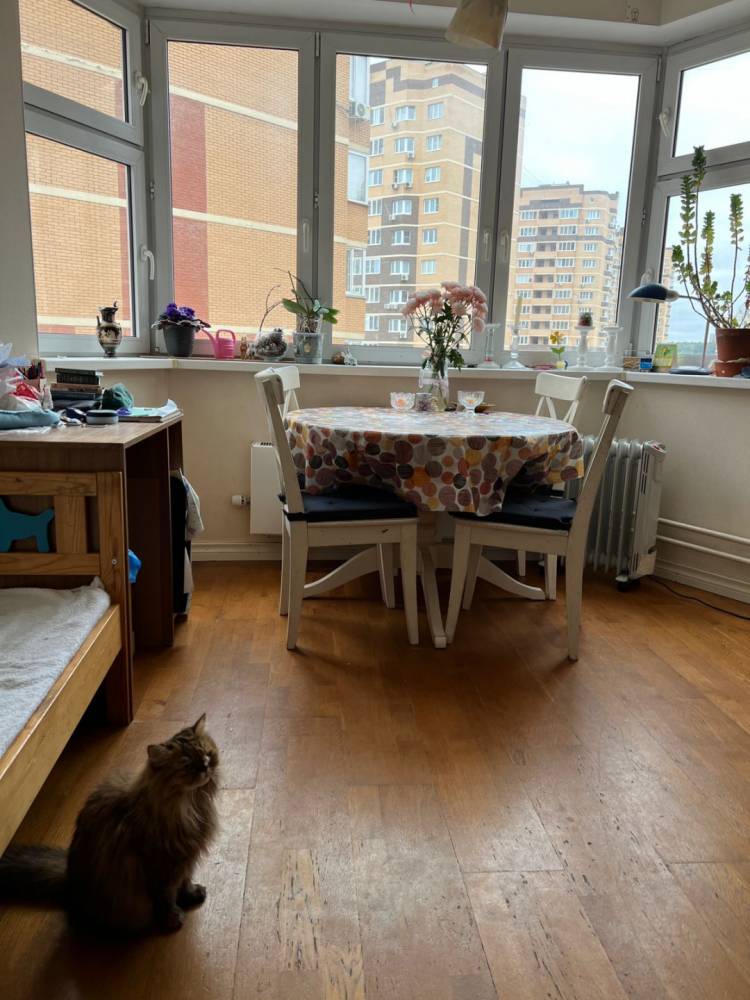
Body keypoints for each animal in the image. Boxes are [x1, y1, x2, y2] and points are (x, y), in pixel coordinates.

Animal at [0, 715, 219, 936]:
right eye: (188, 765)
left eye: (206, 754)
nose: (205, 767)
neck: (192, 805)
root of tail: (68, 878)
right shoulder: (161, 866)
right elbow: (165, 898)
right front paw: (172, 919)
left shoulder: (186, 860)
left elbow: (185, 882)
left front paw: (192, 895)